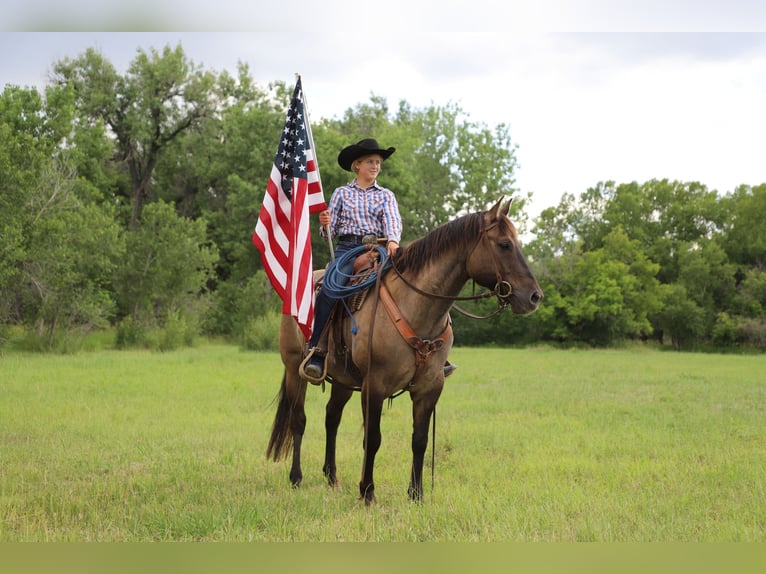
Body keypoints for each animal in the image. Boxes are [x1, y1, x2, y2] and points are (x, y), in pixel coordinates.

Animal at [268, 200, 544, 506]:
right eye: (505, 244)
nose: (534, 297)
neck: (415, 307)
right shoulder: (374, 386)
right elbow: (372, 439)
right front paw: (367, 492)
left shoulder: (429, 387)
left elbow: (419, 440)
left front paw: (416, 494)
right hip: (295, 369)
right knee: (299, 420)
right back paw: (296, 478)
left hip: (344, 380)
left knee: (332, 418)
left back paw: (332, 478)